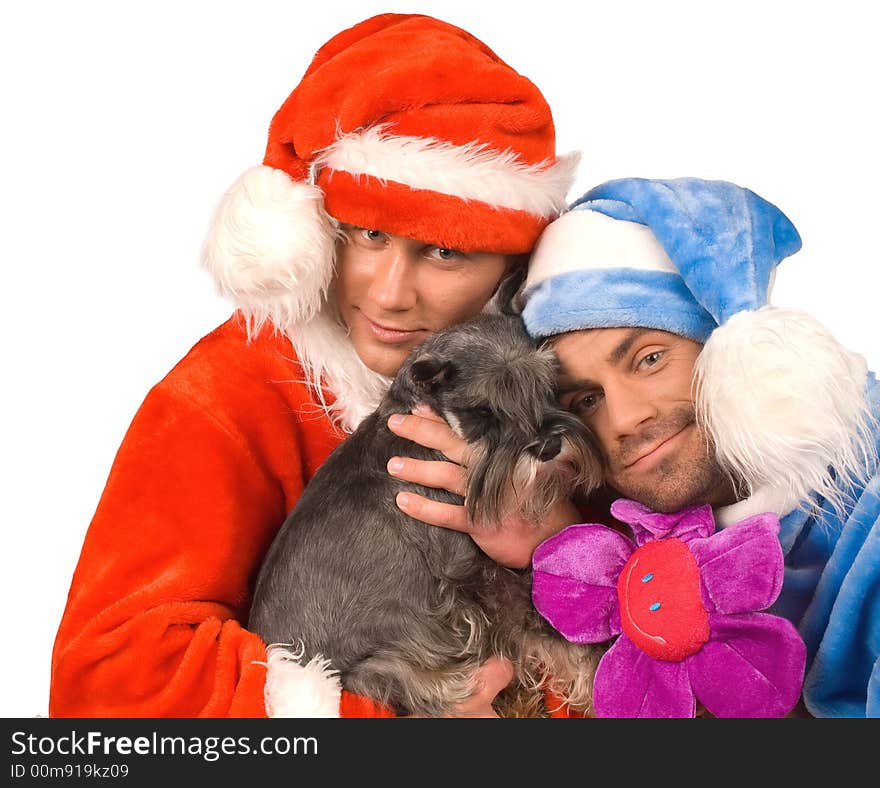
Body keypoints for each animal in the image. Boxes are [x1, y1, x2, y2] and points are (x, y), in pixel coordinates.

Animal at [248, 310, 604, 716]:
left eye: (546, 385)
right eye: (483, 410)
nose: (549, 446)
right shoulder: (469, 571)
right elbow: (540, 622)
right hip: (392, 670)